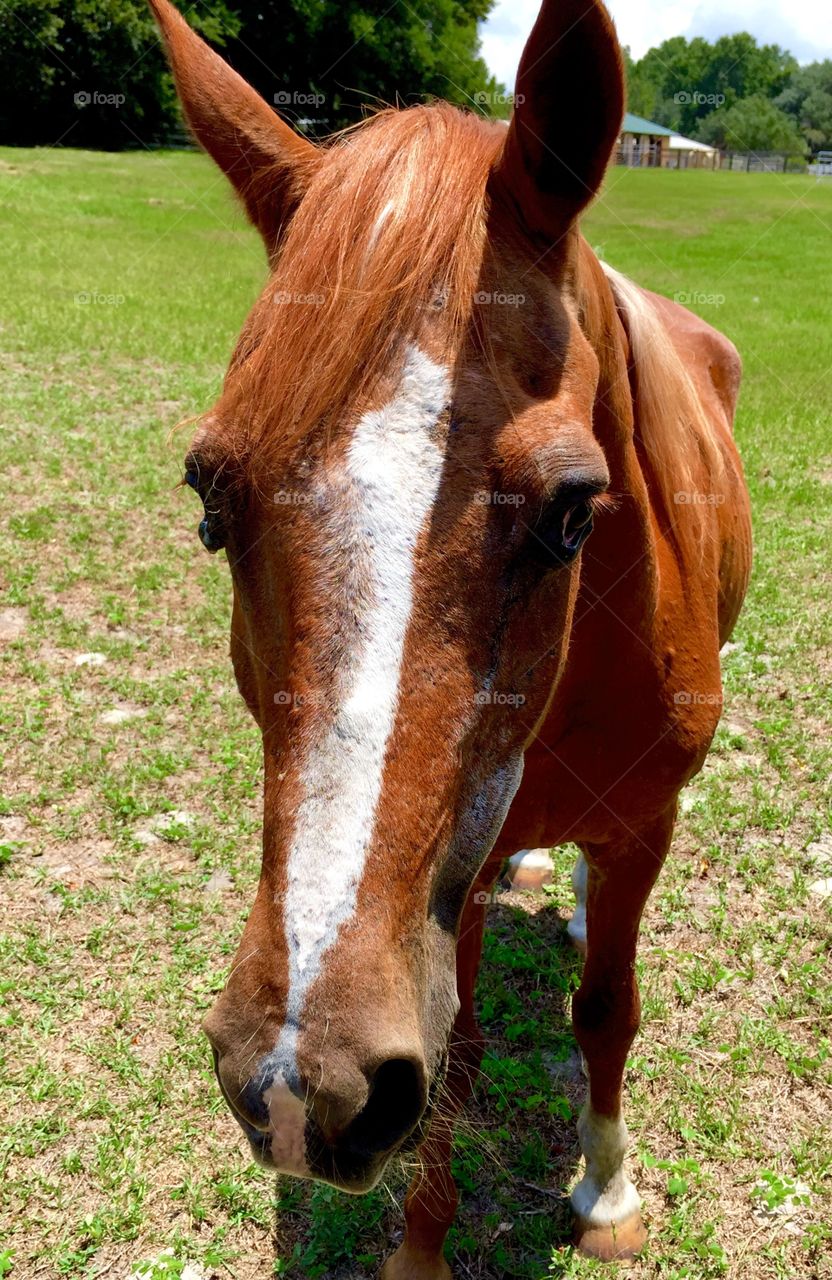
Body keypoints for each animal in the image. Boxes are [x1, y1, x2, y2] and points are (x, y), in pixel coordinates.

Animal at [150, 0, 752, 1272]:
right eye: (210, 499)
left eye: (574, 507)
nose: (300, 1080)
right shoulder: (445, 888)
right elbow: (458, 1056)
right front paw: (420, 1245)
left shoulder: (644, 825)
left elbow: (605, 1010)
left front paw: (606, 1193)